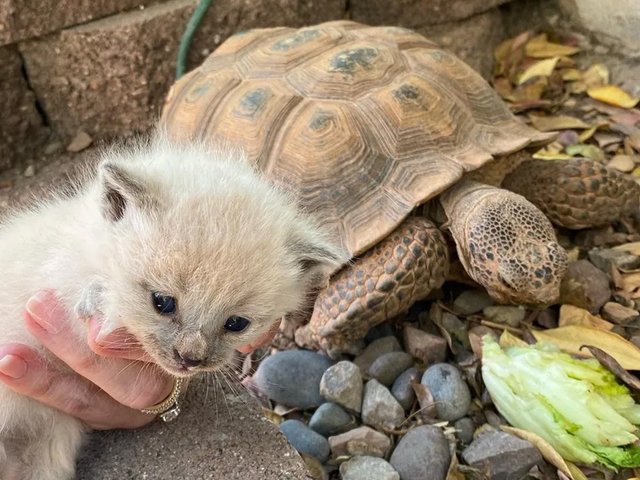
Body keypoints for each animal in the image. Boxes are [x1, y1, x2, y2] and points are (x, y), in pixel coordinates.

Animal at [0, 131, 348, 480]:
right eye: (163, 302)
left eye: (236, 324)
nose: (190, 359)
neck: (94, 250)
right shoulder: (51, 281)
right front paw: (99, 298)